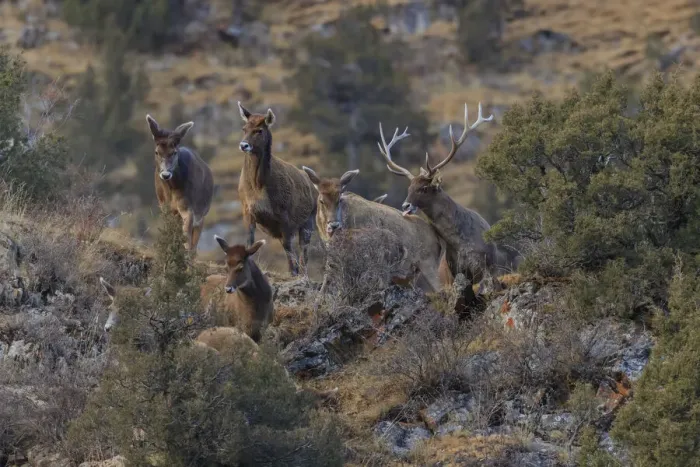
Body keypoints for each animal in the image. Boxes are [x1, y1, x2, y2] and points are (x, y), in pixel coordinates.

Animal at [146, 115, 214, 255]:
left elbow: (186, 236)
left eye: (174, 152)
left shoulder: (188, 207)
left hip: (202, 214)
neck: (171, 191)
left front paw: (184, 254)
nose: (166, 174)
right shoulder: (165, 207)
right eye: (157, 152)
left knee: (194, 242)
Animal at [236, 102, 318, 276]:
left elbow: (288, 246)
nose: (243, 145)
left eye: (259, 130)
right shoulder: (247, 209)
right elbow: (249, 242)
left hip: (309, 220)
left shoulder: (284, 213)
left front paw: (293, 272)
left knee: (303, 250)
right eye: (244, 128)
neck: (258, 187)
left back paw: (302, 273)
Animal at [301, 166, 445, 293]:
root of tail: (437, 239)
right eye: (321, 200)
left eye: (340, 199)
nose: (334, 225)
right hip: (412, 272)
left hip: (429, 263)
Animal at [375, 103, 522, 298]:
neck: (463, 244)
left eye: (423, 188)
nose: (405, 205)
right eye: (409, 188)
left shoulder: (486, 266)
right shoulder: (455, 271)